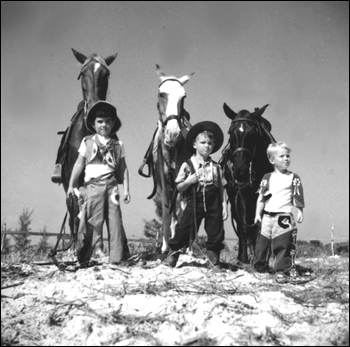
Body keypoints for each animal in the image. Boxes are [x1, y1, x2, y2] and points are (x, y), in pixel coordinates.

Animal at [52, 48, 117, 247]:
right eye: (82, 73)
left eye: (106, 74)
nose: (96, 109)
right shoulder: (72, 180)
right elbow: (75, 214)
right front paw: (75, 247)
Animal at [139, 65, 194, 254]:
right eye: (161, 94)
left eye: (184, 97)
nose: (173, 134)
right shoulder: (163, 182)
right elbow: (165, 212)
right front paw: (165, 245)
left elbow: (180, 213)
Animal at [219, 103, 276, 264]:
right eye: (230, 133)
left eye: (253, 134)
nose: (240, 170)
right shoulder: (242, 192)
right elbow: (244, 226)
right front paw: (244, 258)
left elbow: (259, 225)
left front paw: (259, 257)